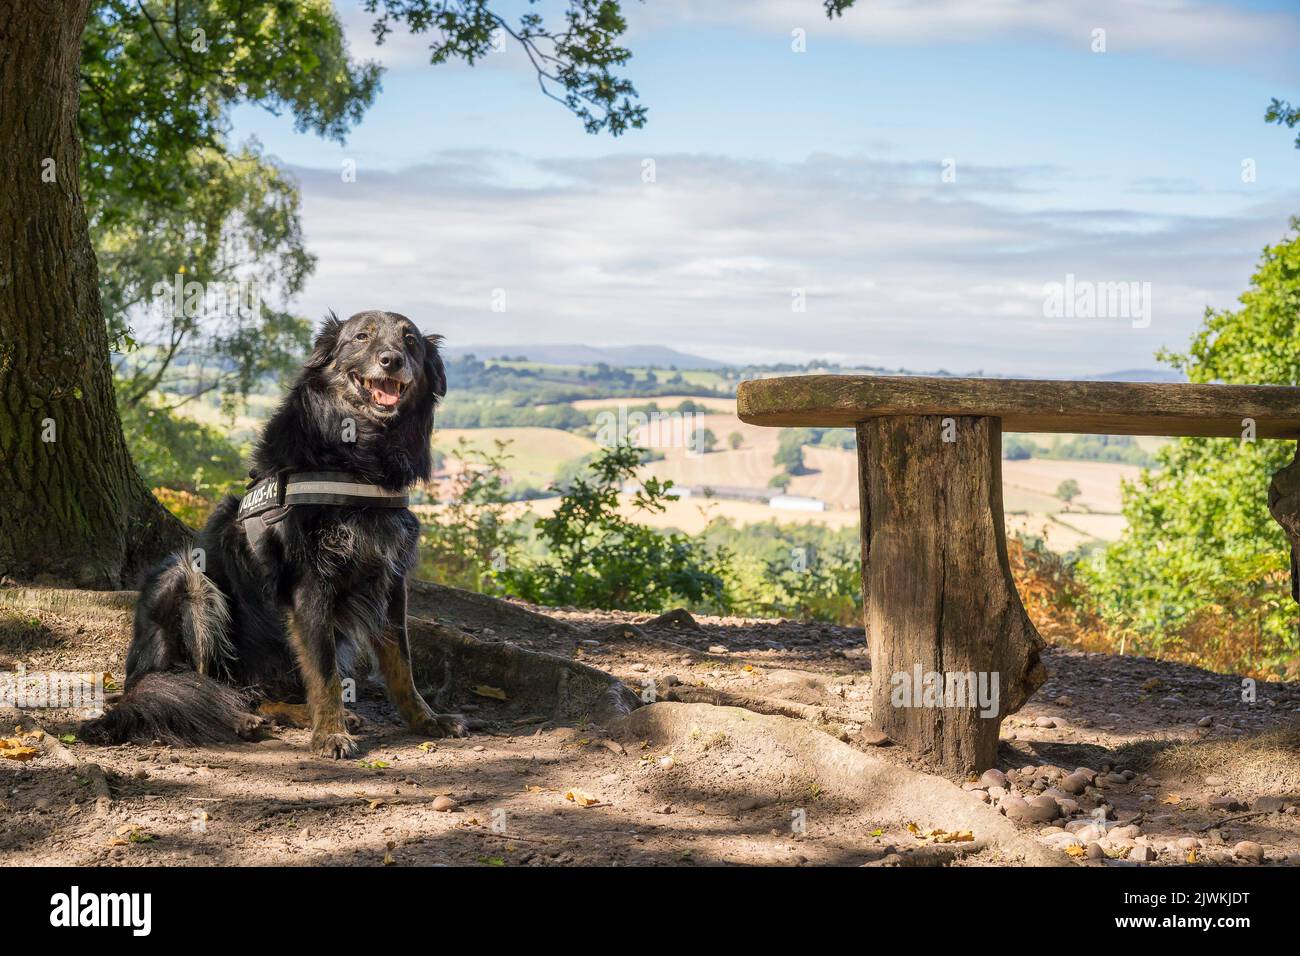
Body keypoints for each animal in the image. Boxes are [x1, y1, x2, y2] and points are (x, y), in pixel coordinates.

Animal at [86, 310, 465, 759]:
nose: (392, 360)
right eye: (361, 337)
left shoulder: (391, 580)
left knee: (256, 693)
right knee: (201, 683)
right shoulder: (310, 580)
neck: (357, 458)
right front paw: (330, 733)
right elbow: (325, 672)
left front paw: (426, 721)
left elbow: (401, 665)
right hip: (188, 579)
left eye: (410, 341)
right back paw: (237, 719)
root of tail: (135, 679)